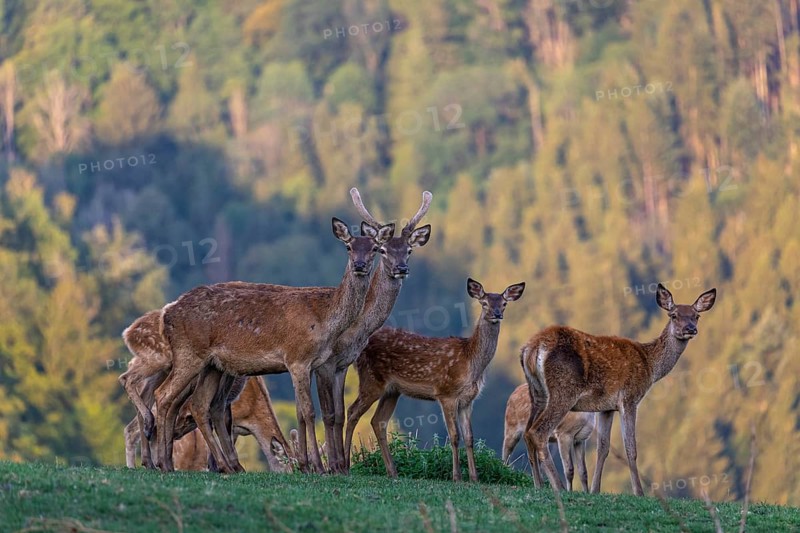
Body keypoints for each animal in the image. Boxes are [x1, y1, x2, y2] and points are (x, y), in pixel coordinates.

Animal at [152, 216, 395, 473]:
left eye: (374, 249)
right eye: (349, 247)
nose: (359, 265)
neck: (324, 320)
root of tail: (167, 314)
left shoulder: (310, 364)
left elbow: (302, 412)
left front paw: (307, 465)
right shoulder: (297, 358)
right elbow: (309, 411)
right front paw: (318, 468)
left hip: (212, 365)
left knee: (199, 404)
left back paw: (224, 466)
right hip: (189, 353)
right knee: (164, 395)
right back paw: (165, 464)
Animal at [316, 187, 432, 474]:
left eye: (409, 250)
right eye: (384, 250)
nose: (401, 269)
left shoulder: (342, 364)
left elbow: (339, 412)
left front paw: (342, 465)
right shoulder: (324, 364)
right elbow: (328, 413)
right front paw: (335, 466)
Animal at [344, 278, 525, 482]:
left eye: (504, 304)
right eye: (484, 303)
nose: (497, 314)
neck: (471, 361)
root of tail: (361, 348)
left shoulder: (468, 401)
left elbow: (469, 437)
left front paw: (474, 477)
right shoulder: (446, 393)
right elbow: (454, 436)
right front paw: (457, 476)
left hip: (392, 391)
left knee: (378, 421)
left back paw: (392, 471)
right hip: (371, 379)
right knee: (352, 412)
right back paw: (345, 466)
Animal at [520, 283, 716, 495]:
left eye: (696, 316)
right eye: (673, 315)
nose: (690, 329)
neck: (650, 365)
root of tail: (532, 348)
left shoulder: (605, 407)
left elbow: (603, 448)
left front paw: (595, 490)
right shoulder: (629, 398)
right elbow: (631, 448)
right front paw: (639, 492)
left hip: (537, 392)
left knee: (527, 431)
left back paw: (538, 484)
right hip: (563, 391)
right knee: (538, 431)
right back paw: (558, 487)